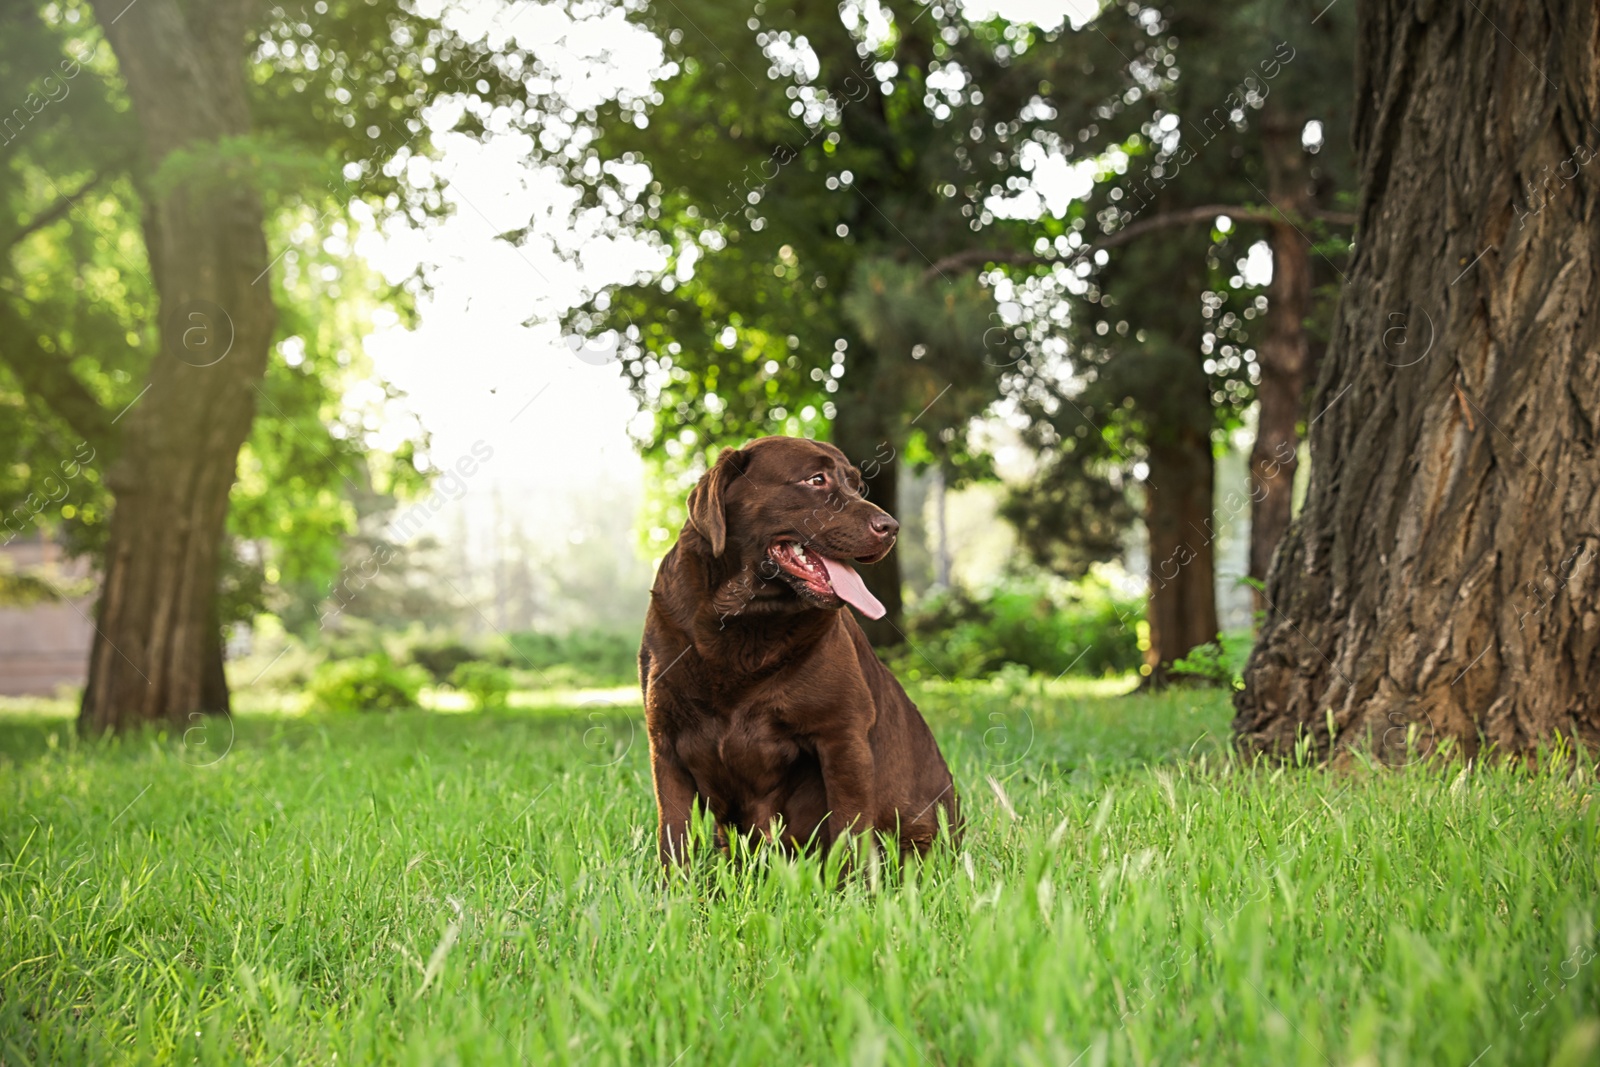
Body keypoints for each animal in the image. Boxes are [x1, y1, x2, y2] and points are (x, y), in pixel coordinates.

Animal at [640, 438, 960, 863]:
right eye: (816, 480)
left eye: (857, 485)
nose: (891, 528)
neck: (742, 619)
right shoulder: (666, 744)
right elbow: (673, 839)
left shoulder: (842, 737)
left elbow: (849, 833)